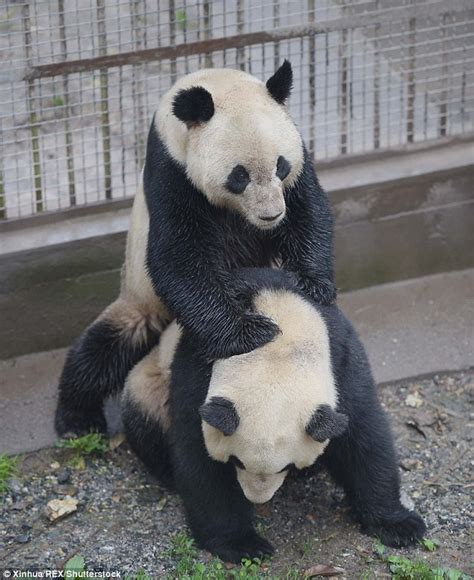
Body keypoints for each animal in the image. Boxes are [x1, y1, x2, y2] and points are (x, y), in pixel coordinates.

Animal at [121, 270, 426, 564]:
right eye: (235, 461)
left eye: (287, 466)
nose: (257, 497)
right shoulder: (198, 367)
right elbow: (199, 457)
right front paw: (242, 544)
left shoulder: (340, 357)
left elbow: (363, 438)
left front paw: (399, 525)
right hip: (152, 381)